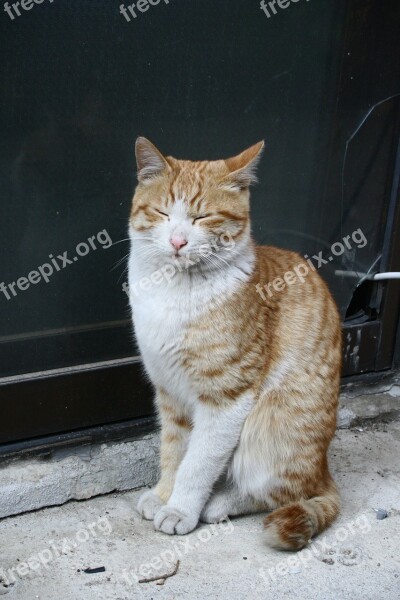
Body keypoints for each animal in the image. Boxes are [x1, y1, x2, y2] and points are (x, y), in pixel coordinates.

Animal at [130, 138, 342, 552]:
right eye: (163, 212)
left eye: (202, 217)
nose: (177, 241)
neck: (173, 292)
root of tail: (324, 469)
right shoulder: (169, 393)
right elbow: (173, 450)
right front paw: (164, 494)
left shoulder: (226, 398)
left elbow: (197, 463)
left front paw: (180, 509)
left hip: (270, 430)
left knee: (279, 491)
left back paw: (219, 503)